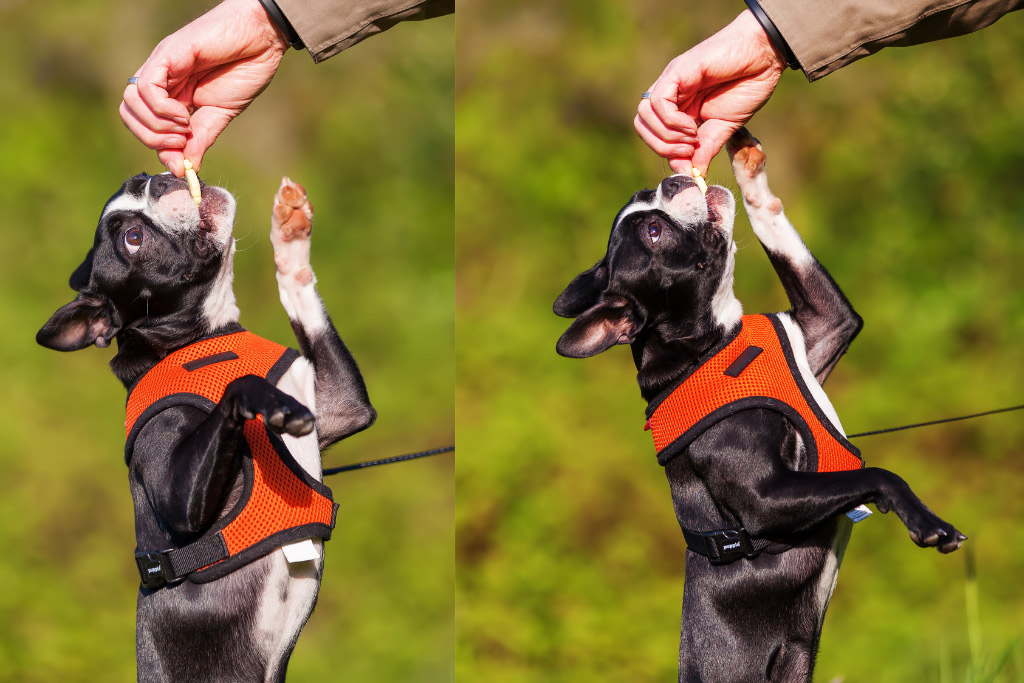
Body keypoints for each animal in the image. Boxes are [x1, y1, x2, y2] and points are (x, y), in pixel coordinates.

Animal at [38, 174, 380, 679]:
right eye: (132, 239)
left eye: (137, 181)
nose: (157, 179)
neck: (200, 339)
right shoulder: (176, 487)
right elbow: (240, 383)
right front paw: (264, 399)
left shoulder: (344, 405)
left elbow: (300, 294)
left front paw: (290, 240)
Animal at [557, 129, 962, 683]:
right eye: (656, 233)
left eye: (648, 201)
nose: (673, 179)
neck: (712, 346)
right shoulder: (764, 498)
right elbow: (878, 474)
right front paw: (925, 521)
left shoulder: (827, 324)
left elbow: (772, 221)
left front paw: (746, 163)